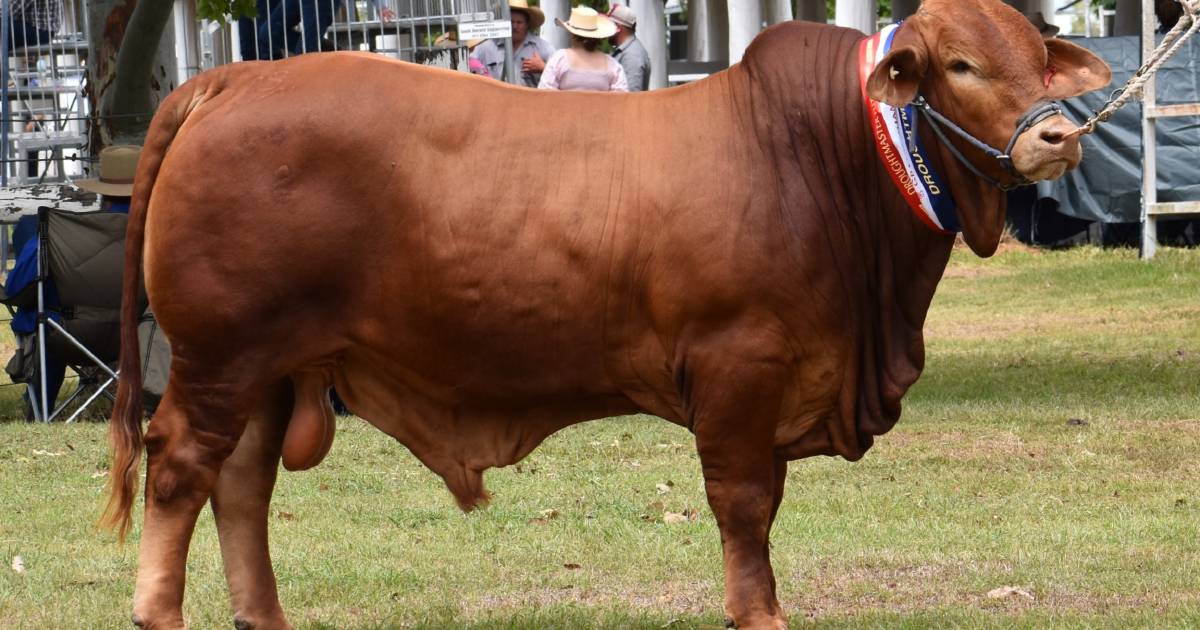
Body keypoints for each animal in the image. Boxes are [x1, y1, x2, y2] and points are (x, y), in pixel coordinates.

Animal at [108, 2, 1108, 624]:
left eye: (1036, 58)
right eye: (961, 64)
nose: (1061, 136)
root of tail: (232, 81)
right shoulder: (739, 370)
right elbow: (745, 507)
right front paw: (759, 612)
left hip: (272, 369)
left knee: (241, 486)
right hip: (220, 358)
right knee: (180, 469)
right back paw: (160, 611)